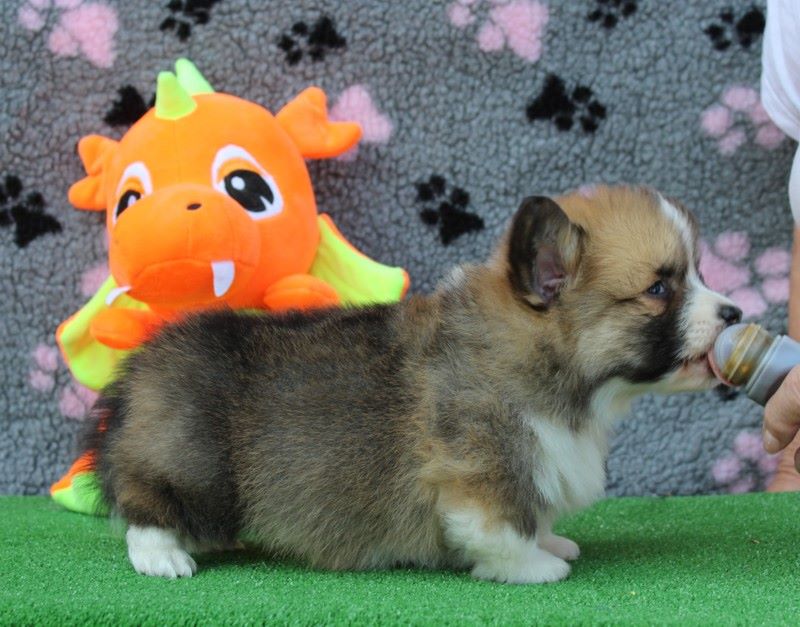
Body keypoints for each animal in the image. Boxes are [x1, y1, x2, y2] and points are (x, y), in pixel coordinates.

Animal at [85, 185, 740, 583]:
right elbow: (500, 527)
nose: (734, 312)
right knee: (145, 506)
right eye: (660, 288)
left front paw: (553, 543)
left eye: (698, 273)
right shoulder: (483, 467)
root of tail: (143, 365)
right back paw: (163, 556)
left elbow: (537, 514)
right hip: (193, 469)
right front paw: (535, 566)